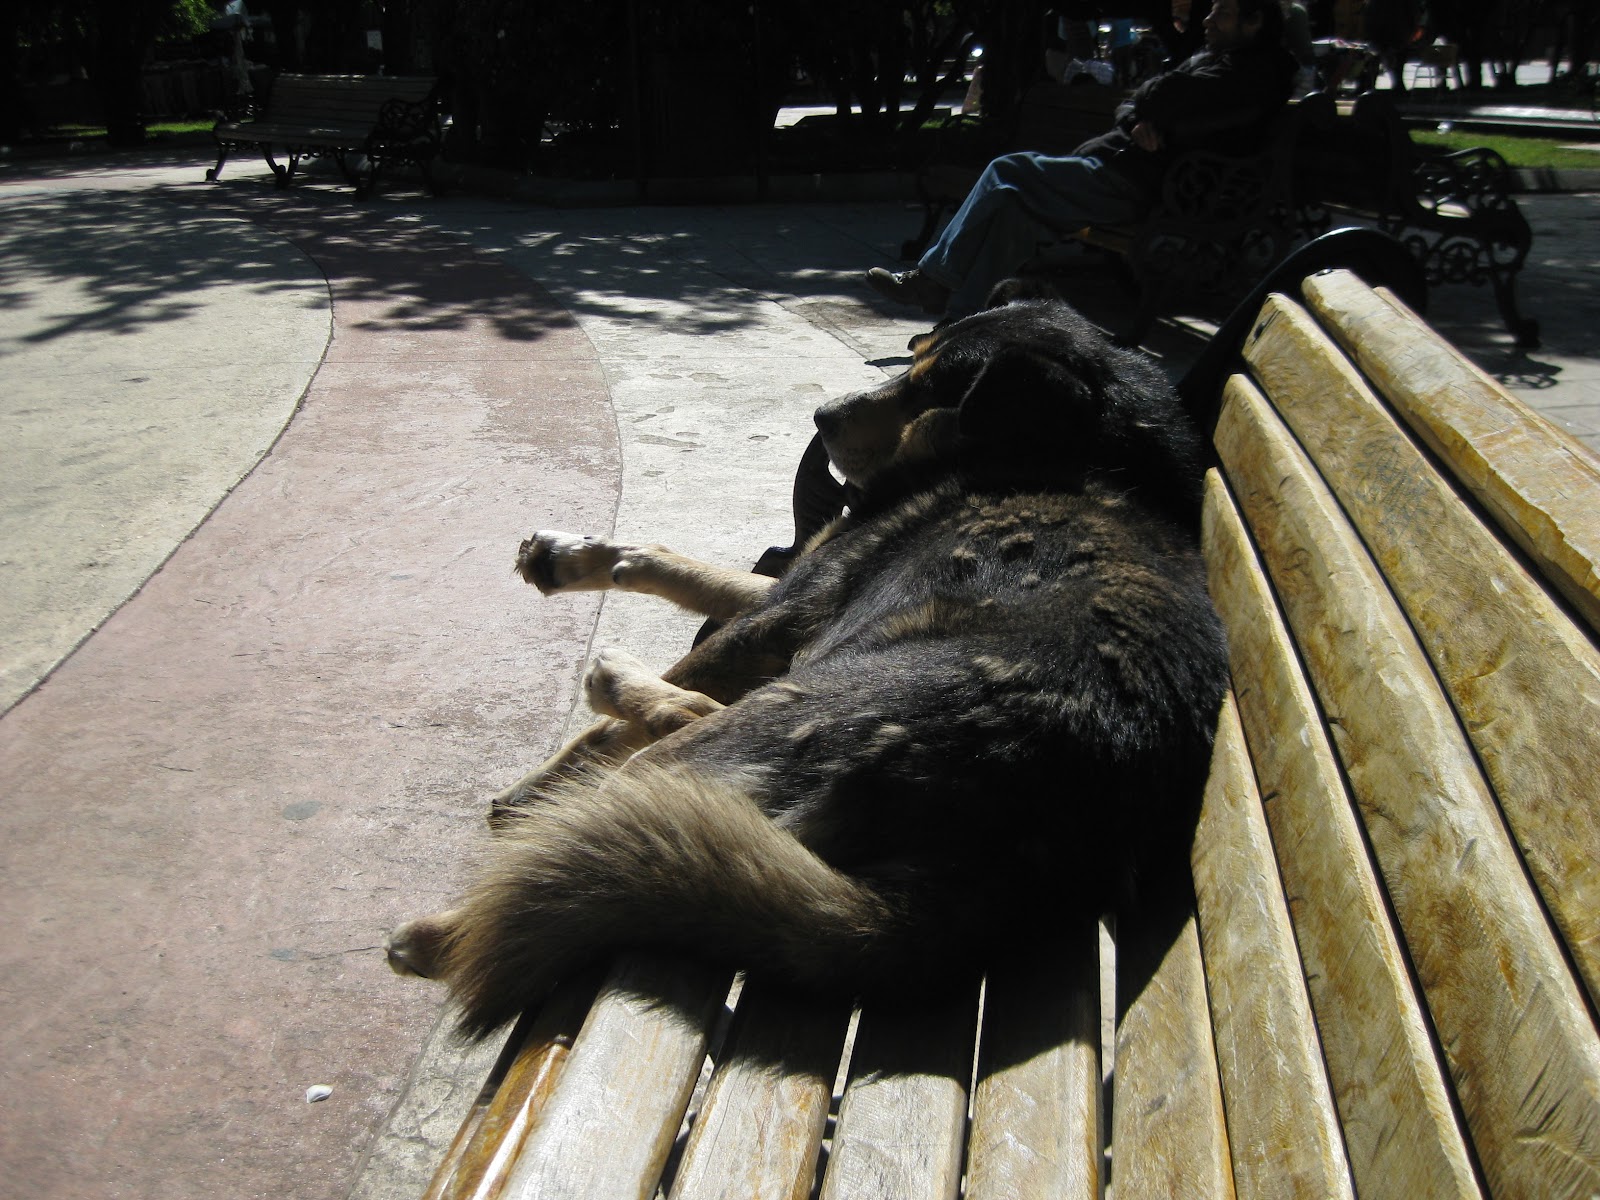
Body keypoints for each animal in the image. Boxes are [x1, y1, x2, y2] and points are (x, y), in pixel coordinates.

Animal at [387, 296, 1222, 1036]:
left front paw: (540, 782)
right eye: (914, 355)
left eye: (933, 387)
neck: (1082, 453)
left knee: (662, 751)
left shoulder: (786, 612)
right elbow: (673, 563)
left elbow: (657, 684)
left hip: (772, 716)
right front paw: (568, 557)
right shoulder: (797, 588)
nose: (822, 417)